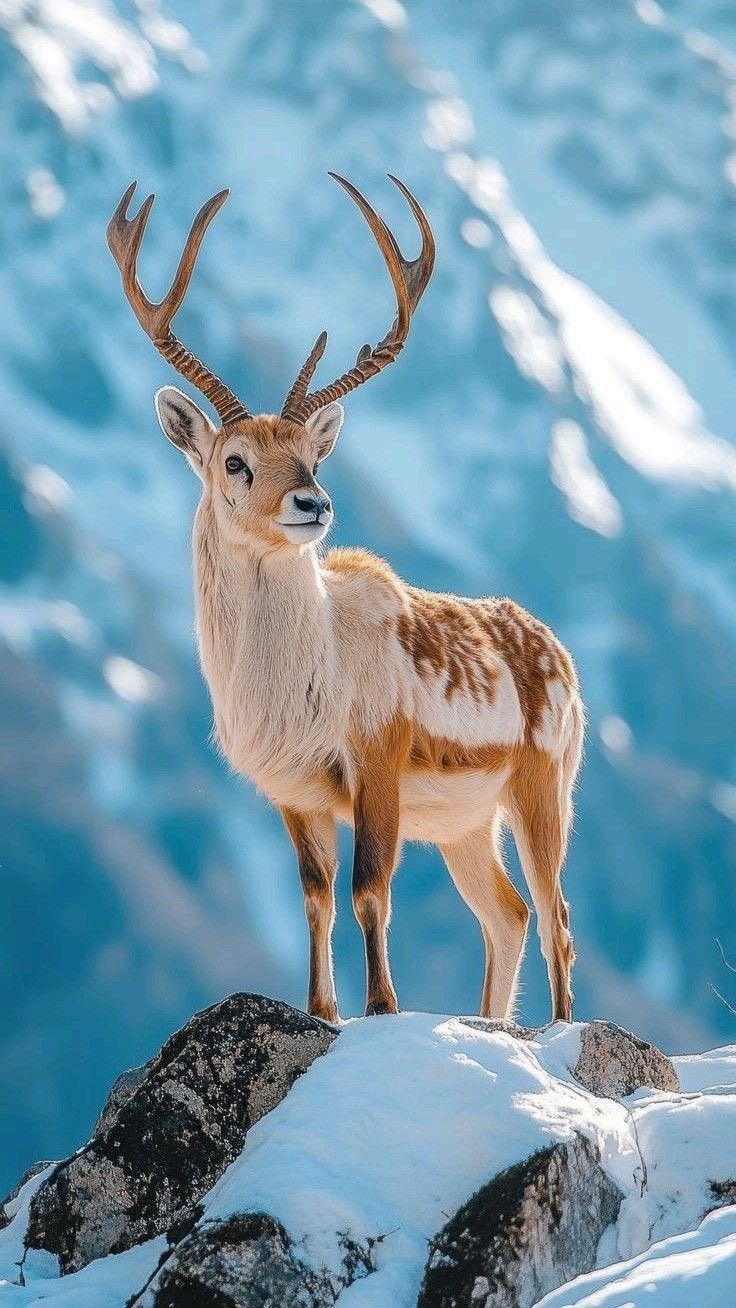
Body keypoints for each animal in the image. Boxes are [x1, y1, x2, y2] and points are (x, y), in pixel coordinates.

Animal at [107, 173, 583, 1024]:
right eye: (233, 461)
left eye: (312, 456)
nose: (313, 502)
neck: (305, 685)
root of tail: (563, 657)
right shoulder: (290, 789)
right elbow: (315, 897)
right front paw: (323, 1009)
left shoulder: (379, 753)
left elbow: (370, 890)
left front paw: (383, 1009)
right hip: (465, 820)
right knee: (509, 912)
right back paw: (493, 1023)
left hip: (544, 777)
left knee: (556, 911)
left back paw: (559, 1029)